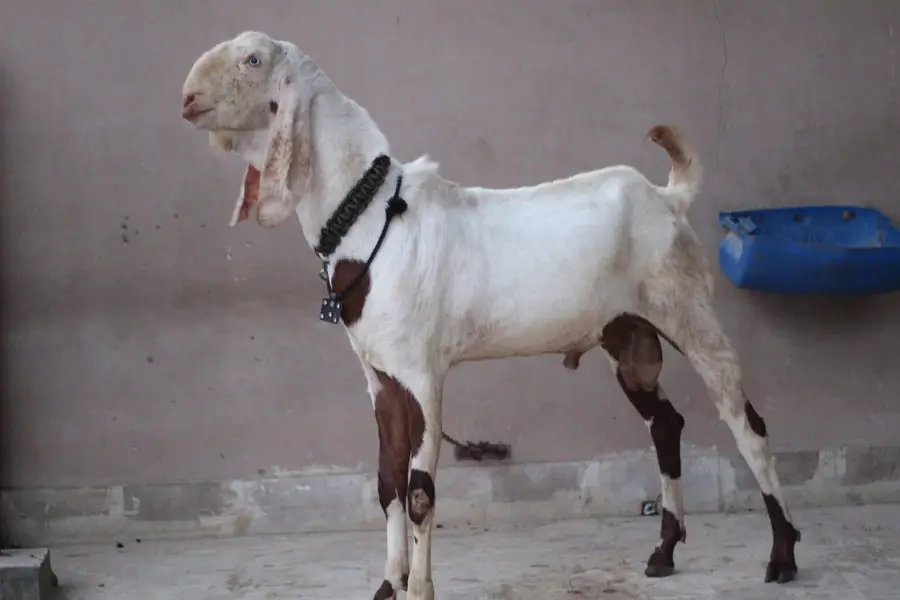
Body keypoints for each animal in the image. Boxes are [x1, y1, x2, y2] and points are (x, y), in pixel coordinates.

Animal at [181, 31, 801, 600]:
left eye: (252, 59)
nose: (187, 98)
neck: (373, 218)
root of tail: (668, 199)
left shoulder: (423, 375)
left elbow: (420, 492)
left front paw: (420, 590)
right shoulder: (380, 379)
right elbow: (386, 483)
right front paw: (387, 586)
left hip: (687, 309)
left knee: (747, 424)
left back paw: (783, 555)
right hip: (626, 335)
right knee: (665, 423)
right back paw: (665, 551)